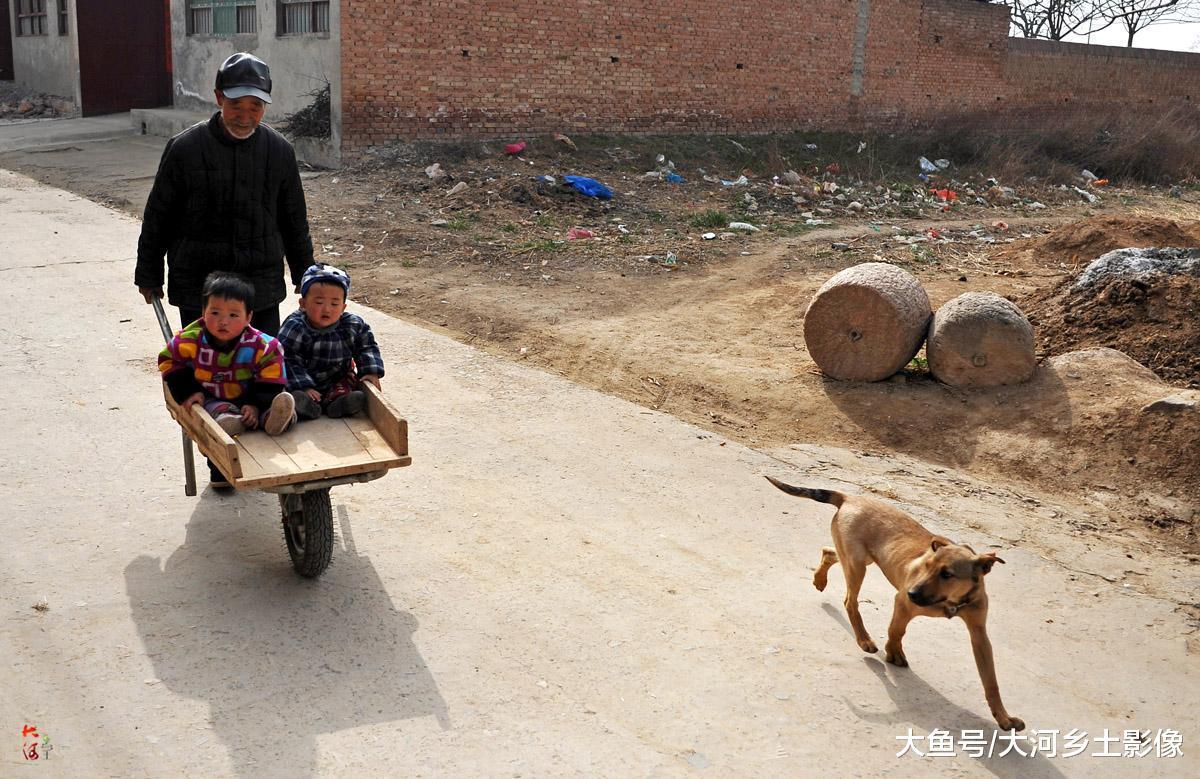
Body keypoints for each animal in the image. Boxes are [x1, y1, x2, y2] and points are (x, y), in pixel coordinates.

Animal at [768, 472, 1022, 729]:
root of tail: (849, 498)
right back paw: (864, 640)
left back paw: (820, 579)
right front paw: (894, 653)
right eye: (926, 566)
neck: (953, 600)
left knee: (829, 552)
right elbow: (897, 630)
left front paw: (1003, 716)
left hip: (859, 559)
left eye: (947, 574)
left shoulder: (979, 633)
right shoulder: (902, 603)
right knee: (850, 601)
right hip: (857, 565)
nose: (913, 593)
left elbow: (991, 680)